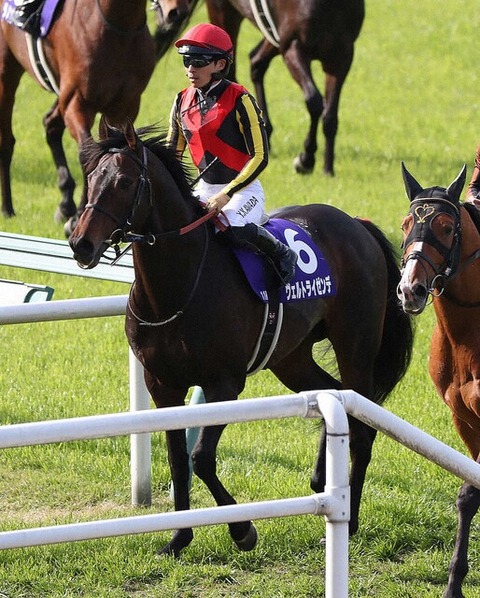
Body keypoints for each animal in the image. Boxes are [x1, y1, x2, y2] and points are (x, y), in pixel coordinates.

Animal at [0, 0, 155, 225]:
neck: (120, 26)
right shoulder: (77, 102)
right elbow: (88, 152)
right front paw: (80, 214)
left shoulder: (125, 106)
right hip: (7, 72)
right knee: (6, 141)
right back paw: (7, 208)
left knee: (50, 124)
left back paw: (65, 202)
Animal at [67, 118, 412, 564]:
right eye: (91, 178)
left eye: (125, 182)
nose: (81, 243)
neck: (176, 288)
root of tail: (357, 223)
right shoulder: (162, 384)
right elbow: (178, 459)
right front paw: (178, 539)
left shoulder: (224, 383)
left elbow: (202, 458)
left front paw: (243, 530)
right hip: (291, 359)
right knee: (332, 396)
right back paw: (321, 476)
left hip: (356, 344)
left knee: (362, 425)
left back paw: (347, 522)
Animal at [155, 0, 364, 177]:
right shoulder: (293, 47)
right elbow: (314, 101)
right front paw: (306, 160)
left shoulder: (341, 58)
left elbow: (330, 116)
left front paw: (327, 167)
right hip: (224, 12)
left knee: (256, 61)